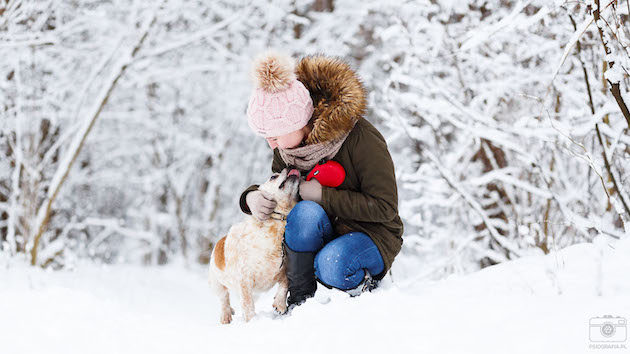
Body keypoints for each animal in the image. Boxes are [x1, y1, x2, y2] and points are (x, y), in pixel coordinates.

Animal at [209, 167, 302, 324]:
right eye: (273, 176)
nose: (289, 167)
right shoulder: (245, 280)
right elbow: (248, 305)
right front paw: (252, 321)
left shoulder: (283, 270)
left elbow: (285, 284)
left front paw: (280, 304)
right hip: (217, 284)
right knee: (224, 299)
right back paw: (226, 315)